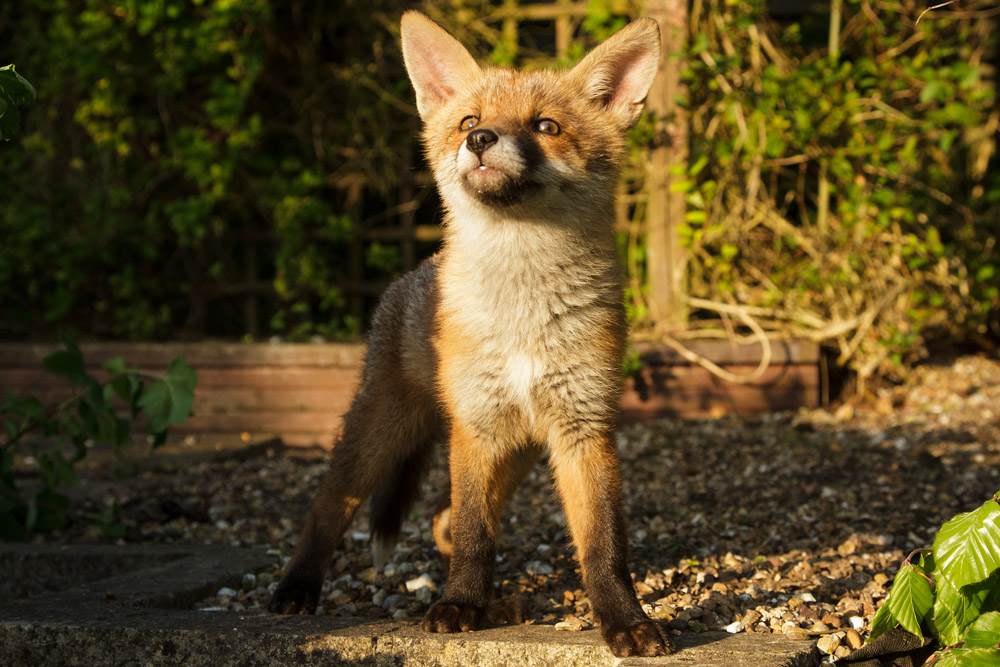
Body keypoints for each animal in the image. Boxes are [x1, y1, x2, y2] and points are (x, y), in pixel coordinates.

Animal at [268, 11, 671, 657]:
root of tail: (410, 275)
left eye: (546, 126)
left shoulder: (584, 428)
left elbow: (603, 546)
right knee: (332, 508)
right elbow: (476, 532)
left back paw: (498, 599)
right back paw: (297, 589)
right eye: (469, 121)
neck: (524, 309)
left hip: (519, 450)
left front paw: (624, 620)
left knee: (442, 519)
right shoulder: (477, 425)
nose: (480, 140)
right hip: (382, 433)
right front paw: (457, 606)